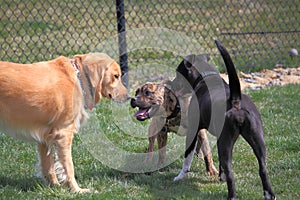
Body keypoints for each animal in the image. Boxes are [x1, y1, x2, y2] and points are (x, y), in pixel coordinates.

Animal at [172, 39, 276, 199]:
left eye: (178, 74)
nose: (171, 84)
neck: (205, 77)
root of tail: (235, 101)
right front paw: (221, 176)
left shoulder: (194, 130)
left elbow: (187, 156)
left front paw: (180, 176)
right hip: (257, 140)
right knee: (263, 169)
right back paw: (269, 194)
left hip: (226, 141)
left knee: (231, 172)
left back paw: (231, 195)